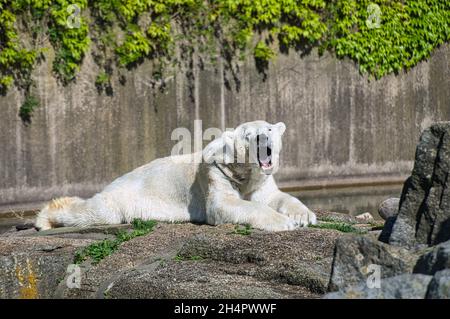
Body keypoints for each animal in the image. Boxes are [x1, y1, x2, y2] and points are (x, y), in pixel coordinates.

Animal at [35, 121, 316, 231]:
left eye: (269, 129)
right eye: (248, 135)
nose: (262, 138)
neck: (244, 171)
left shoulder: (261, 180)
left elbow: (275, 197)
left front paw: (304, 216)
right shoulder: (215, 172)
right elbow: (224, 205)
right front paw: (283, 222)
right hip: (120, 197)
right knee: (97, 212)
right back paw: (43, 219)